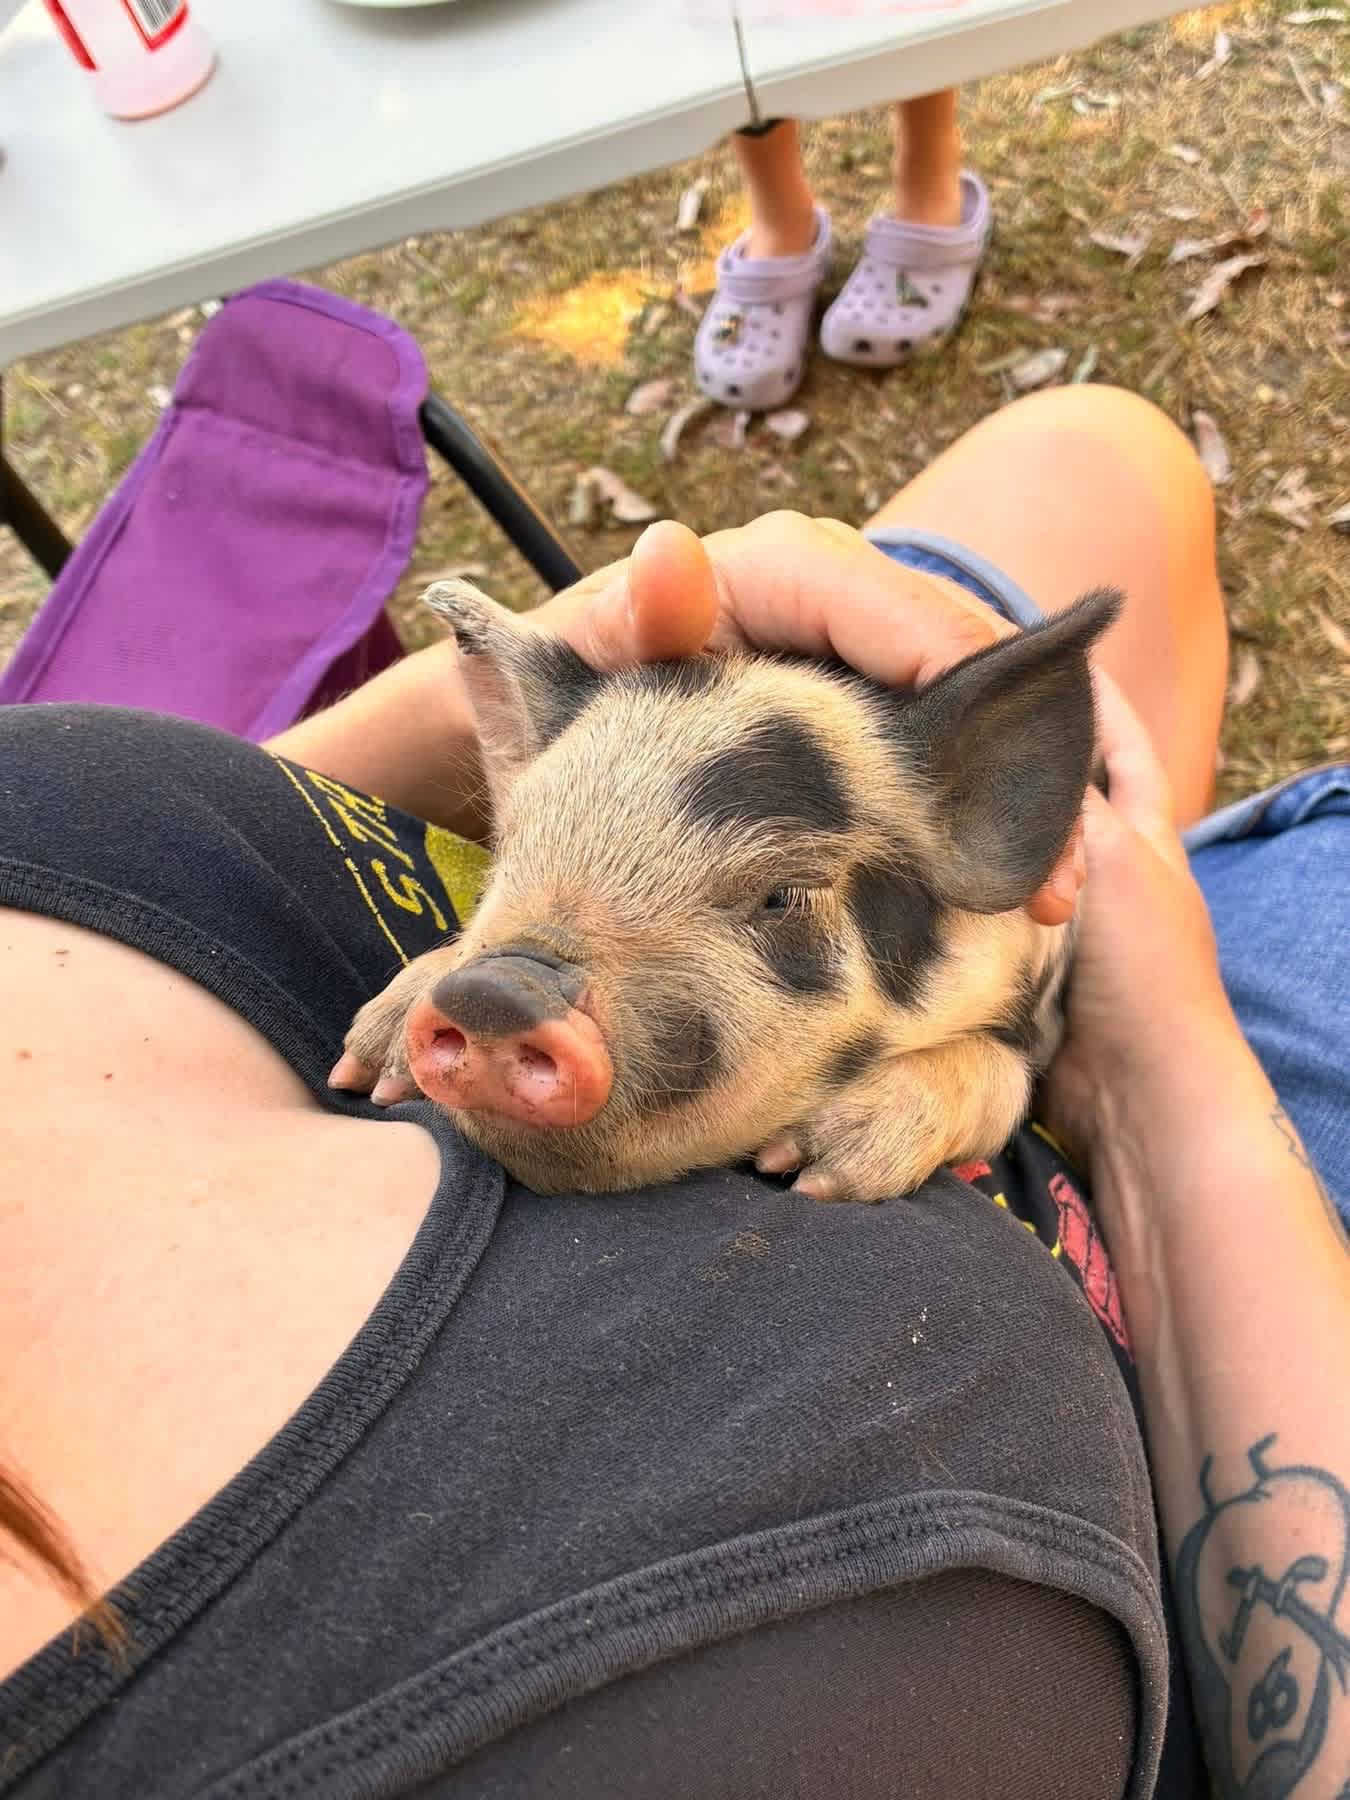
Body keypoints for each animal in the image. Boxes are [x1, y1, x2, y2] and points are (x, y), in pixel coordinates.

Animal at [331, 577, 1120, 1202]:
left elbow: (1006, 1076)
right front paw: (368, 1067)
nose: (498, 989)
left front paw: (810, 1172)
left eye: (784, 896)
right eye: (513, 847)